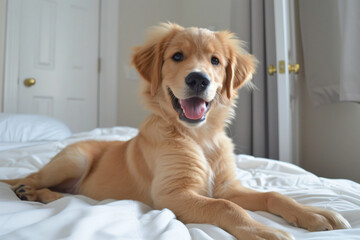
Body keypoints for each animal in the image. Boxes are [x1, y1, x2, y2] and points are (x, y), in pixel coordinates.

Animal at [1, 23, 350, 240]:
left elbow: (273, 195)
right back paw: (29, 191)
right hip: (73, 159)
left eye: (215, 61)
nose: (198, 79)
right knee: (31, 179)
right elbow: (226, 207)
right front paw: (263, 230)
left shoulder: (226, 186)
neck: (200, 137)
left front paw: (316, 215)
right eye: (177, 56)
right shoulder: (172, 194)